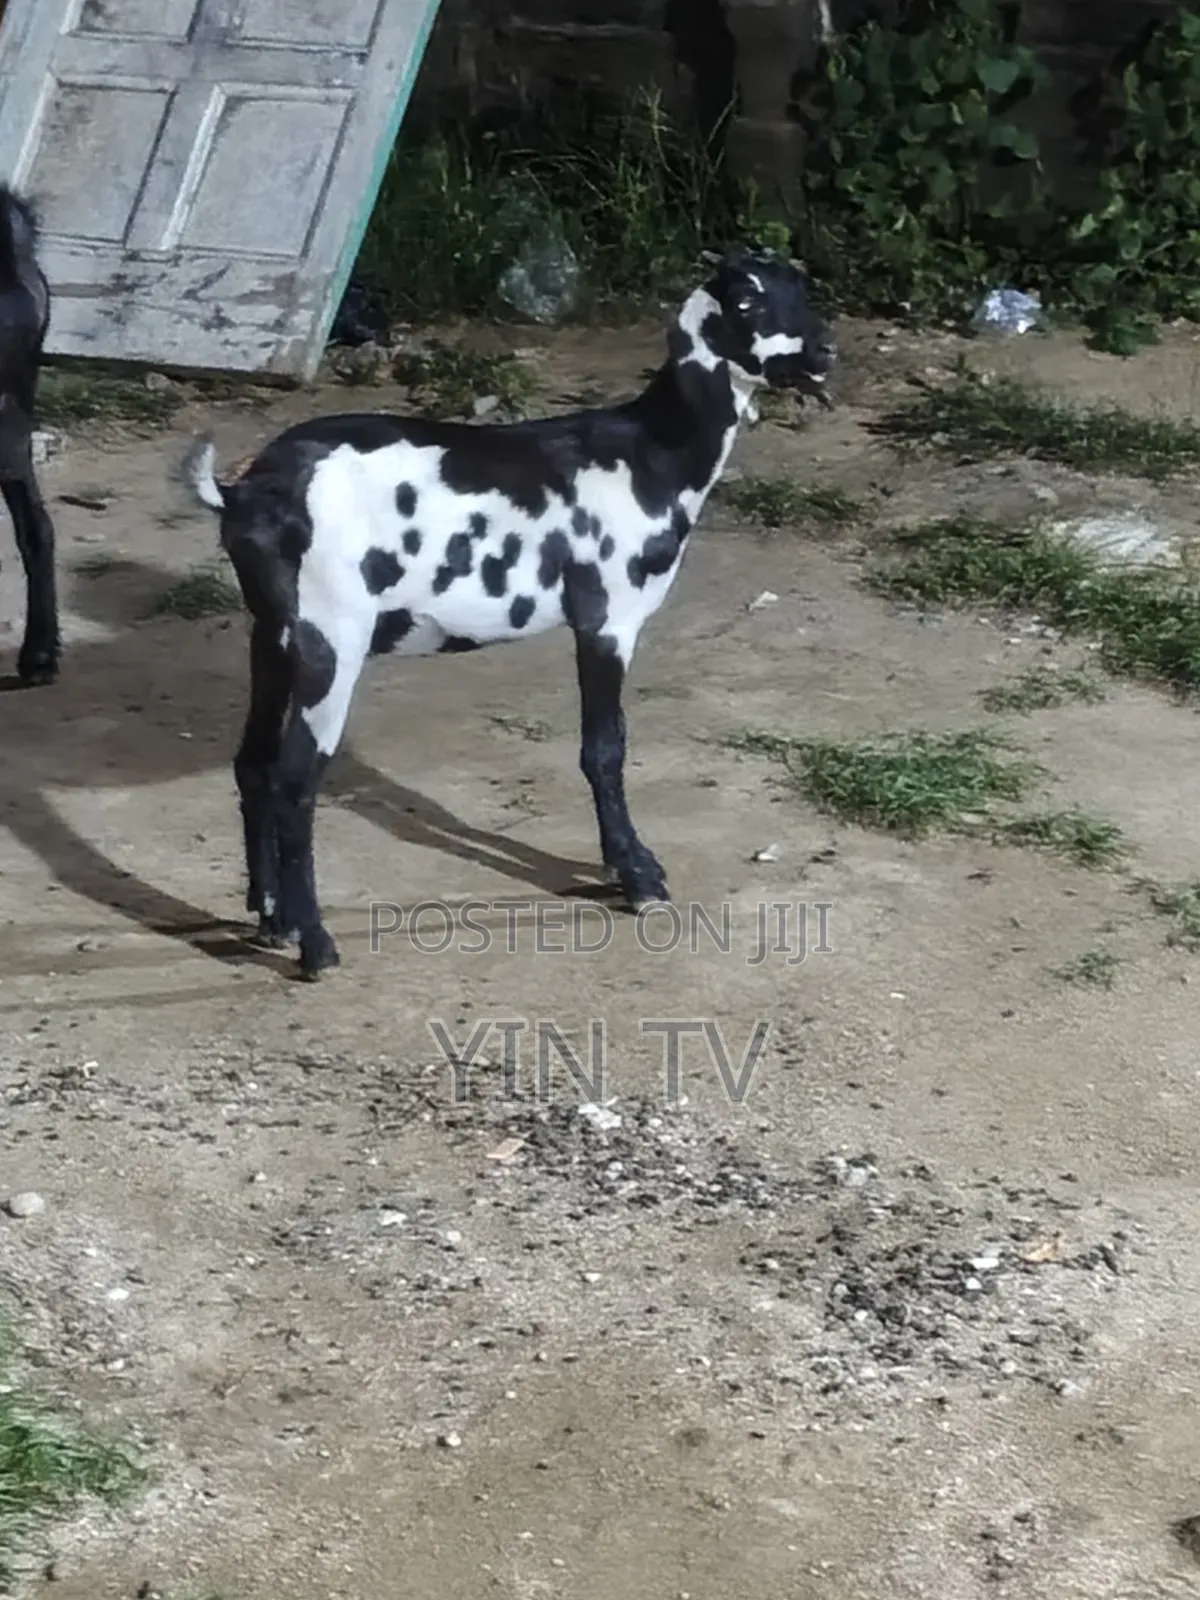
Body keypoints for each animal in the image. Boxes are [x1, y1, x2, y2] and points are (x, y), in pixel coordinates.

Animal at [181, 249, 837, 979]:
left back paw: (272, 920)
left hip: (272, 632)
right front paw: (637, 876)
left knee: (254, 764)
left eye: (798, 289)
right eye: (747, 303)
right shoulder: (607, 619)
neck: (652, 452)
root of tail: (249, 493)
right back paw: (316, 944)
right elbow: (604, 749)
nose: (826, 352)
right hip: (333, 634)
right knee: (296, 781)